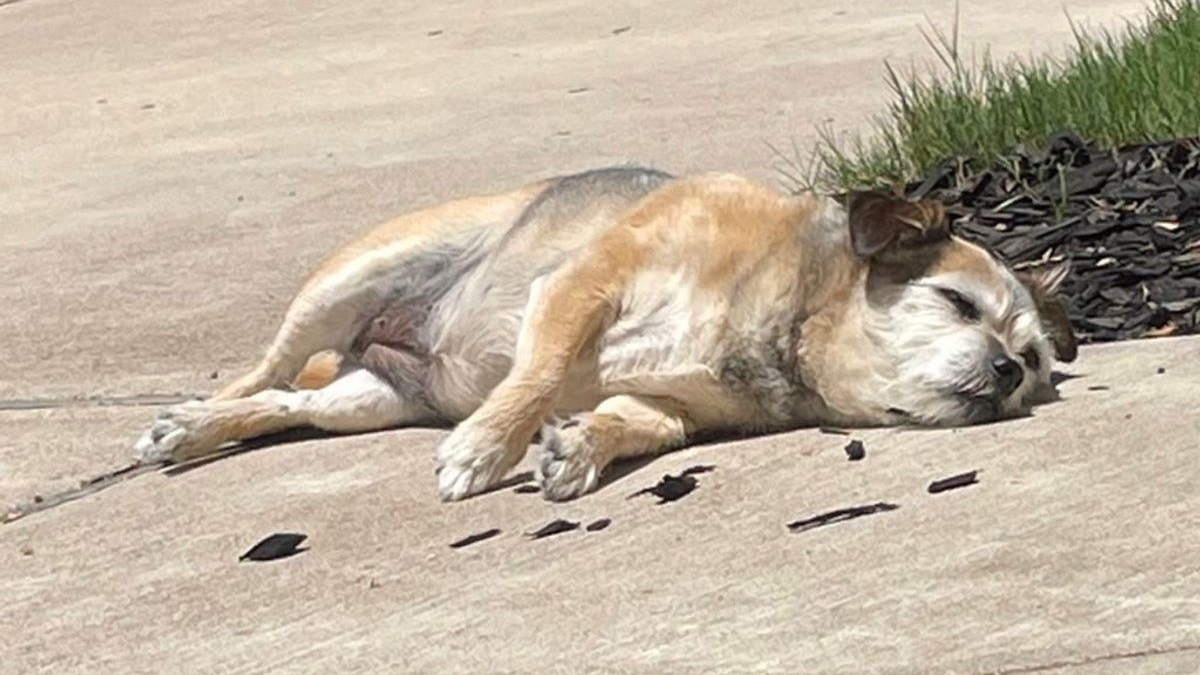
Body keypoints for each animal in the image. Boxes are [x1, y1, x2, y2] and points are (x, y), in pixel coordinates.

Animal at [133, 164, 1080, 497]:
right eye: (957, 303)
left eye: (1032, 359)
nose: (1005, 373)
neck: (784, 314)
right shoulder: (582, 285)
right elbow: (543, 369)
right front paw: (488, 449)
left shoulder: (673, 405)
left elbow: (629, 420)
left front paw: (578, 447)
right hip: (349, 280)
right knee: (263, 373)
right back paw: (189, 420)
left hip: (372, 400)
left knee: (290, 405)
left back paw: (205, 429)